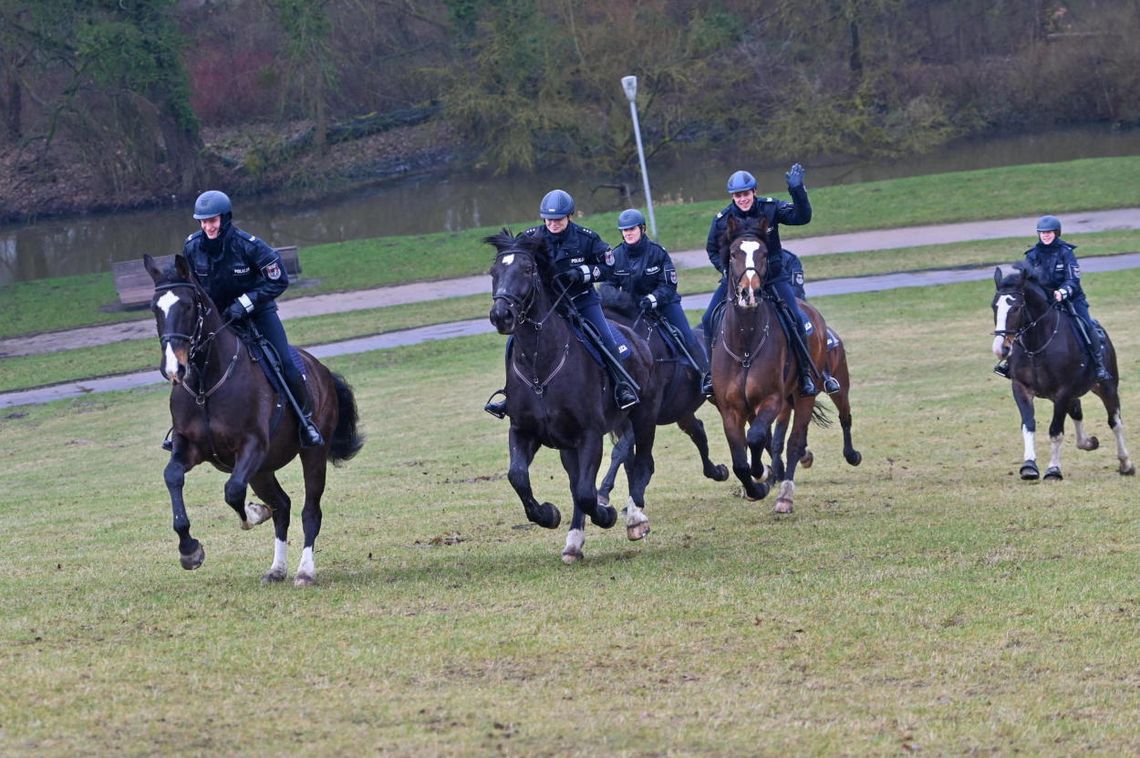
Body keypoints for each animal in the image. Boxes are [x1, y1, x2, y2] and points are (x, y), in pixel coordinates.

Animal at [142, 254, 362, 583]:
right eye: (155, 307)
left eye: (189, 306)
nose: (173, 368)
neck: (206, 385)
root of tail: (321, 369)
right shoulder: (188, 446)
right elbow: (173, 477)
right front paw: (189, 550)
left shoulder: (251, 446)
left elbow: (233, 491)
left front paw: (255, 514)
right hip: (262, 470)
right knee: (282, 506)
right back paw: (277, 568)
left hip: (311, 454)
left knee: (309, 511)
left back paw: (305, 571)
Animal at [485, 227, 665, 558]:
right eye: (494, 272)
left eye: (527, 269)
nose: (501, 315)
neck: (540, 366)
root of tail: (638, 341)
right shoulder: (524, 431)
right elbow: (519, 477)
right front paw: (548, 515)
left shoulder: (590, 435)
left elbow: (585, 492)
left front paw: (606, 514)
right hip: (571, 444)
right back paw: (574, 541)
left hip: (644, 417)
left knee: (641, 464)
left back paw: (635, 518)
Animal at [597, 287, 729, 506]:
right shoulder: (624, 421)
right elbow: (628, 460)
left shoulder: (644, 414)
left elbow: (621, 452)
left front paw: (604, 492)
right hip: (682, 411)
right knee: (698, 432)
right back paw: (717, 472)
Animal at [706, 215, 834, 510]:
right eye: (733, 253)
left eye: (763, 253)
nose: (749, 293)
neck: (745, 342)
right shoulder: (730, 409)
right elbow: (740, 461)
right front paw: (757, 485)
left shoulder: (772, 399)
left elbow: (755, 438)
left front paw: (763, 475)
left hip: (802, 394)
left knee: (795, 441)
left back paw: (785, 496)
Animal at [989, 263, 1130, 478]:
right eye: (994, 306)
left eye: (1016, 307)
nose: (1000, 348)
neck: (1037, 345)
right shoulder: (1021, 388)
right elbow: (1028, 425)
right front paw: (1029, 466)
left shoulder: (1063, 392)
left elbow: (1055, 431)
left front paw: (1053, 469)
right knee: (1077, 411)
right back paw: (1088, 442)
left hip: (1107, 387)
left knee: (1115, 422)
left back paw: (1125, 463)